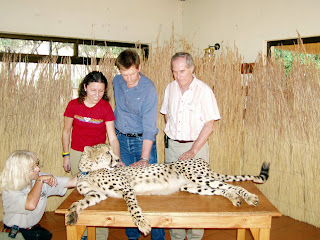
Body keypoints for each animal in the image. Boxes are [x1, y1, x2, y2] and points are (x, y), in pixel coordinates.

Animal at [67, 143, 270, 235]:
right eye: (107, 153)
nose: (117, 160)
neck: (89, 171)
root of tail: (200, 160)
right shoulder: (97, 194)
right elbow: (80, 202)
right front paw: (71, 214)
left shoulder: (126, 187)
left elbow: (133, 207)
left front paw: (142, 224)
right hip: (195, 186)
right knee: (222, 189)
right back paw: (235, 198)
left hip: (198, 176)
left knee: (233, 185)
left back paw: (249, 198)